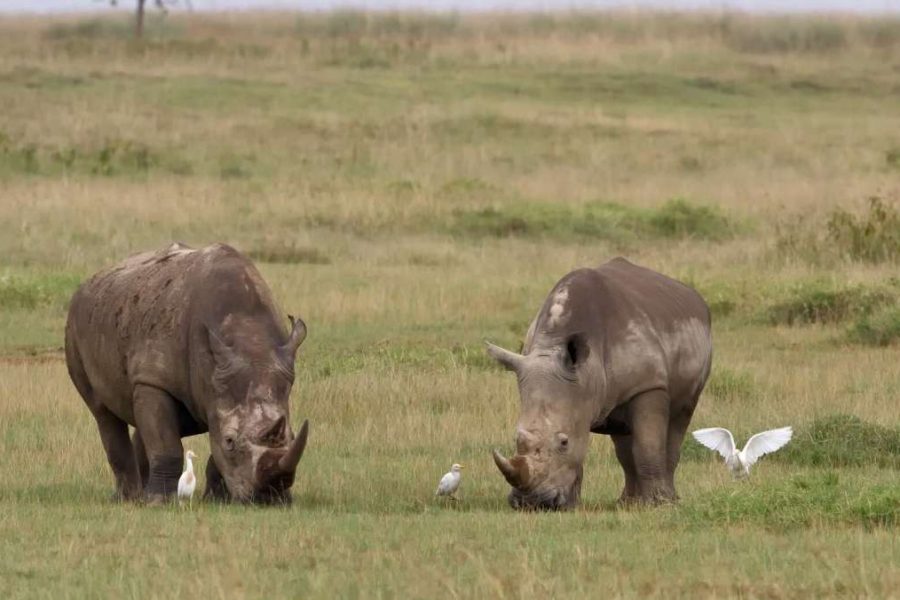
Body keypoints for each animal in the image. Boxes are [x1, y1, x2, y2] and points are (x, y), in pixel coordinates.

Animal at [65, 242, 310, 505]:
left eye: (292, 436)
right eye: (230, 441)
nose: (269, 497)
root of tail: (91, 279)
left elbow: (208, 450)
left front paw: (216, 500)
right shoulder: (156, 378)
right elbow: (167, 445)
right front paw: (159, 502)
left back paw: (139, 496)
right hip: (76, 324)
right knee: (103, 412)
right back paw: (129, 498)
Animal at [486, 257, 712, 510]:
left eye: (563, 442)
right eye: (516, 438)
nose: (531, 503)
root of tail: (695, 297)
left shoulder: (648, 385)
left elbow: (647, 447)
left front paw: (657, 505)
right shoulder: (576, 393)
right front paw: (573, 506)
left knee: (679, 419)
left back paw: (665, 500)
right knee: (623, 440)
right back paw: (627, 503)